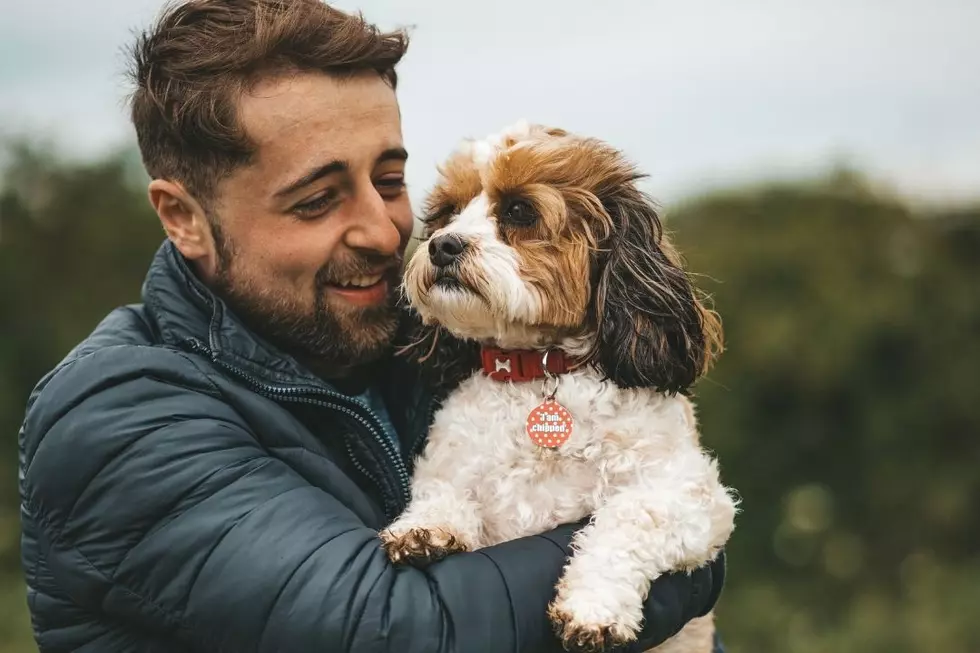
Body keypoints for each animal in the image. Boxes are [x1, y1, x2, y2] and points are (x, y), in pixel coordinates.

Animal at [380, 122, 736, 652]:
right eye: (447, 213)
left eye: (518, 211)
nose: (443, 244)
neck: (538, 371)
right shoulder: (452, 468)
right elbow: (442, 493)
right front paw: (425, 527)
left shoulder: (692, 495)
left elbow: (628, 519)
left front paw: (594, 608)